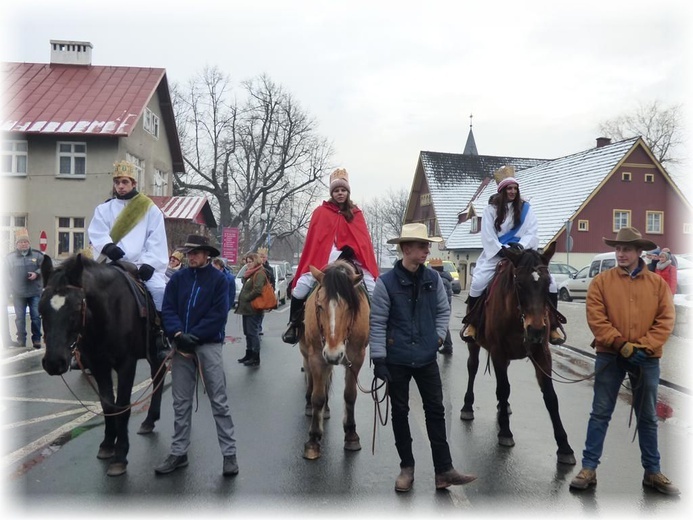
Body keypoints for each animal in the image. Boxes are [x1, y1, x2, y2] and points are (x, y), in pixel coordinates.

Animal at [300, 260, 370, 460]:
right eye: (319, 306)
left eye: (350, 307)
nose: (333, 354)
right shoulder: (317, 357)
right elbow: (317, 397)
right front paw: (313, 439)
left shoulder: (356, 358)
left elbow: (350, 395)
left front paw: (351, 435)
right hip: (308, 353)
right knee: (312, 379)